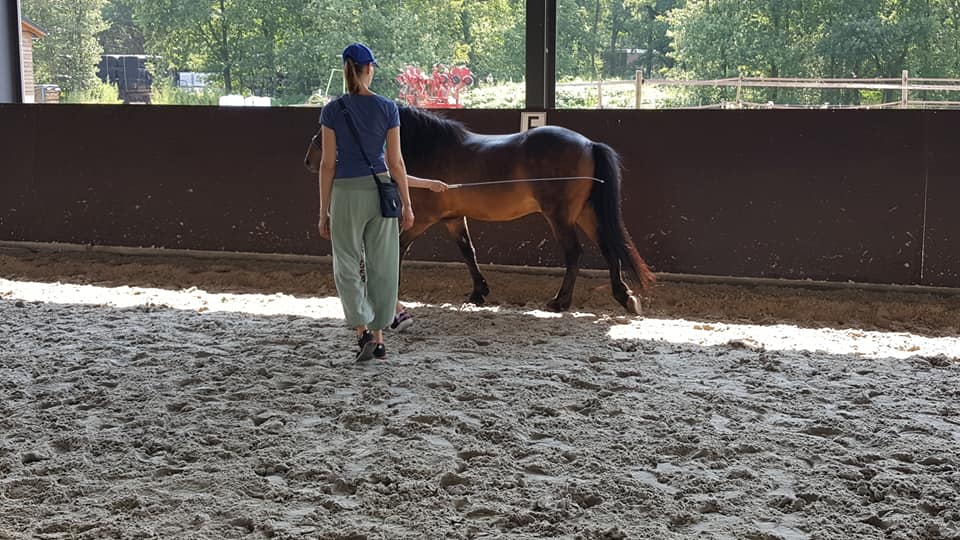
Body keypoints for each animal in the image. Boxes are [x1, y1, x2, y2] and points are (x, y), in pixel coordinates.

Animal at [304, 104, 655, 315]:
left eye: (328, 128)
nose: (309, 161)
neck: (430, 148)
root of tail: (588, 144)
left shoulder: (422, 220)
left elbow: (399, 247)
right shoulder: (452, 219)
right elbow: (467, 252)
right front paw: (478, 292)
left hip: (560, 217)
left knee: (574, 253)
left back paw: (560, 302)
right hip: (583, 213)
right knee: (608, 248)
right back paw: (624, 297)